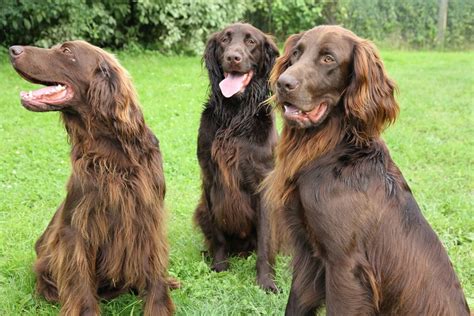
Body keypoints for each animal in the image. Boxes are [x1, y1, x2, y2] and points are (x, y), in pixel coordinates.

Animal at [9, 41, 175, 316]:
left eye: (66, 51)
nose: (13, 50)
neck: (112, 151)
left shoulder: (148, 218)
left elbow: (155, 276)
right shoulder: (76, 230)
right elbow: (81, 285)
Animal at [193, 22, 280, 292]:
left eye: (251, 42)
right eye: (224, 40)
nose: (233, 57)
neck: (235, 116)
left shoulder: (264, 184)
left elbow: (265, 242)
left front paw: (266, 280)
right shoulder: (211, 180)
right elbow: (219, 235)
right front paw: (220, 266)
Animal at [264, 25, 468, 316]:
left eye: (328, 58)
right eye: (296, 53)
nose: (283, 84)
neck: (334, 149)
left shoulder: (345, 265)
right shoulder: (308, 254)